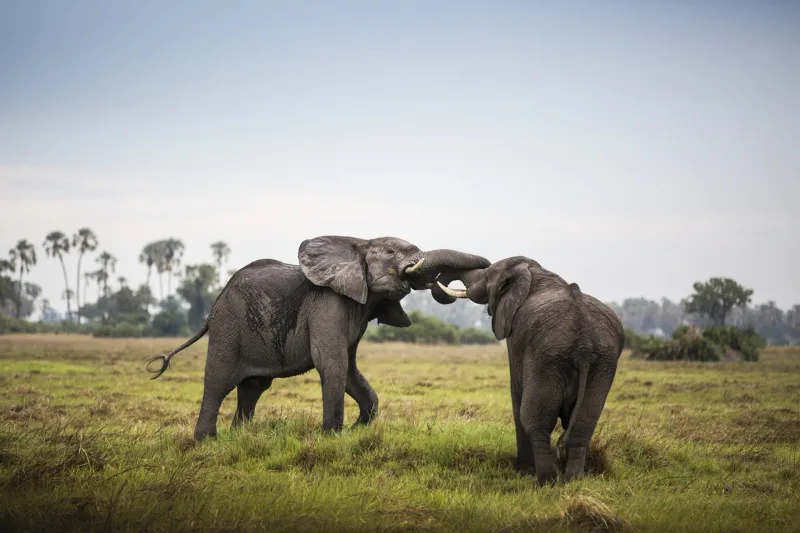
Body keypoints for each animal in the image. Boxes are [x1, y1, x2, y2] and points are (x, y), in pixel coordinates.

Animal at [145, 235, 490, 441]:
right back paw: (207, 441)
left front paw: (355, 430)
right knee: (218, 380)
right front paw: (333, 437)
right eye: (391, 252)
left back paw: (241, 437)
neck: (358, 244)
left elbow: (349, 369)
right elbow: (332, 363)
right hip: (228, 325)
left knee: (253, 387)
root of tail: (214, 305)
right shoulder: (327, 304)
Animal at [434, 256, 625, 486]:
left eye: (487, 276)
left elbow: (517, 392)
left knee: (537, 420)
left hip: (546, 358)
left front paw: (522, 470)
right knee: (583, 423)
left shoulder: (515, 336)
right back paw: (573, 481)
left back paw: (546, 481)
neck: (534, 273)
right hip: (602, 364)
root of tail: (584, 347)